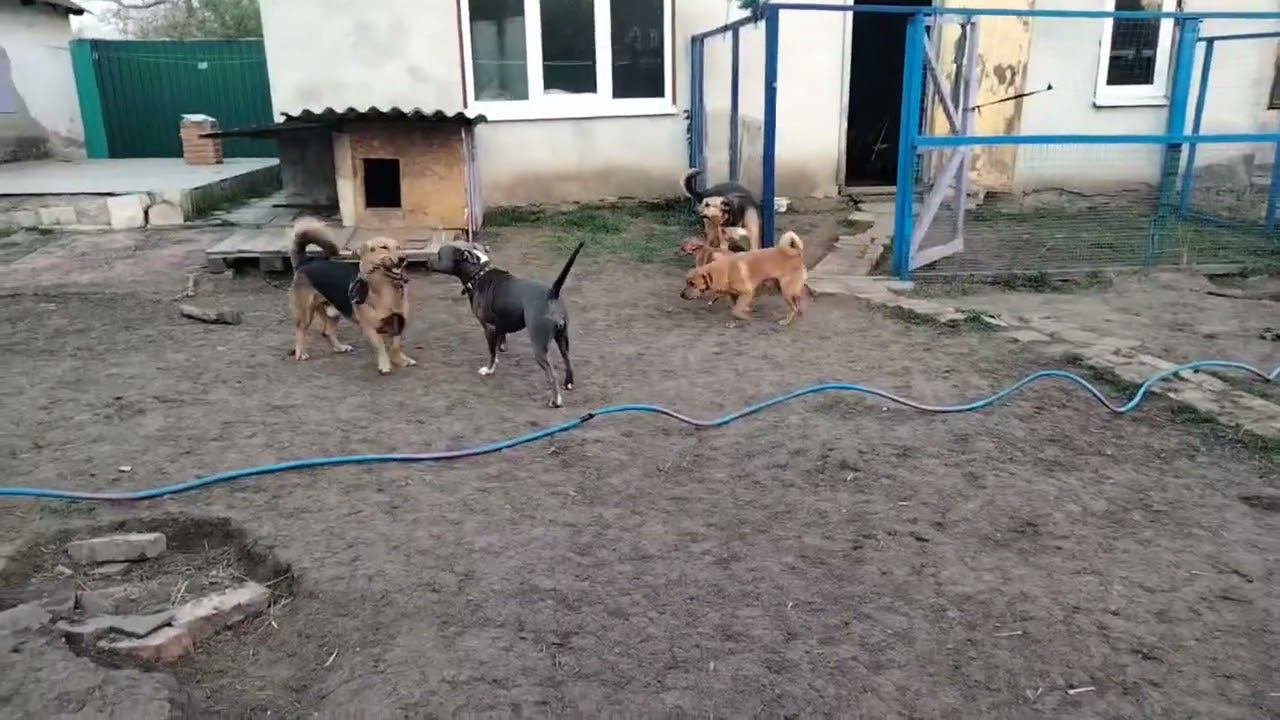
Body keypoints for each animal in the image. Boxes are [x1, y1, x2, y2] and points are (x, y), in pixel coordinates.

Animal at [288, 219, 416, 374]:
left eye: (398, 247)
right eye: (383, 247)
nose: (403, 258)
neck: (386, 289)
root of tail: (306, 261)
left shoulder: (399, 321)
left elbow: (396, 345)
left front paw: (401, 360)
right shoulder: (369, 327)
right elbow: (380, 346)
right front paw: (385, 365)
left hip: (333, 312)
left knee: (328, 332)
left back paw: (339, 347)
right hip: (306, 313)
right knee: (300, 331)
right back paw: (300, 353)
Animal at [427, 240, 584, 408]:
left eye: (439, 254)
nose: (427, 260)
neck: (478, 273)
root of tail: (552, 293)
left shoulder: (488, 327)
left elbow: (491, 352)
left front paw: (489, 369)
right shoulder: (500, 324)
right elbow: (500, 340)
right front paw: (501, 348)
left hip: (539, 345)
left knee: (552, 374)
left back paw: (555, 400)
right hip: (563, 338)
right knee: (568, 360)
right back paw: (568, 383)